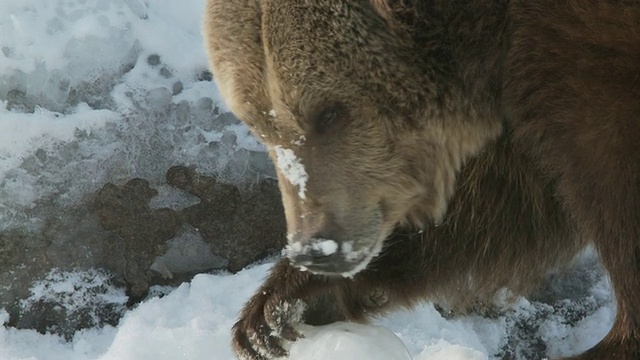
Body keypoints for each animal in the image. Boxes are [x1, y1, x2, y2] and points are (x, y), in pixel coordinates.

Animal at [204, 0, 640, 360]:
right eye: (258, 125)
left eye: (329, 113)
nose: (315, 249)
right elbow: (501, 208)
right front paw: (277, 308)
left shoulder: (581, 60)